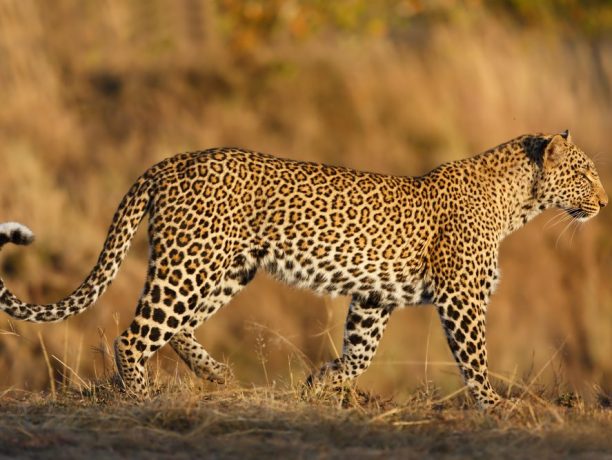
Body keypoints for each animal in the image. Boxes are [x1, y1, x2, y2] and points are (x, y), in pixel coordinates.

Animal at [0, 131, 604, 408]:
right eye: (584, 174)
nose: (603, 202)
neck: (519, 205)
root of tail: (174, 160)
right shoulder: (462, 298)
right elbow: (475, 359)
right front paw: (494, 407)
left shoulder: (374, 297)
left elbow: (359, 355)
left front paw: (318, 383)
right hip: (192, 262)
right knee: (134, 336)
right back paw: (141, 399)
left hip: (226, 268)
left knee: (174, 329)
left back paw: (217, 375)